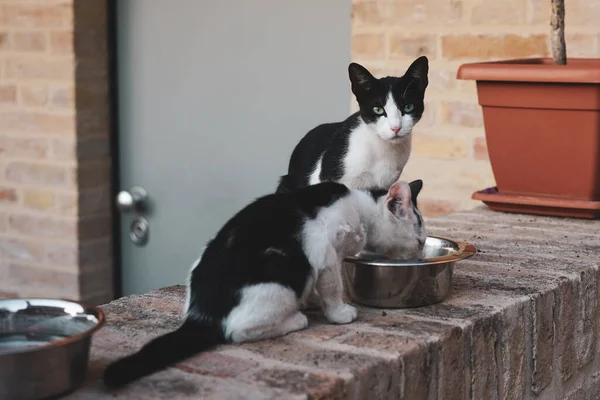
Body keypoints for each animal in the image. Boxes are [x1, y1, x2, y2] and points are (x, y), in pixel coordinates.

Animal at [104, 178, 426, 388]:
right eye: (420, 239)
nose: (422, 251)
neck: (361, 209)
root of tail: (202, 313)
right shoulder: (326, 253)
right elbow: (332, 288)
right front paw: (339, 314)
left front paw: (314, 302)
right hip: (281, 279)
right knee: (238, 330)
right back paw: (295, 319)